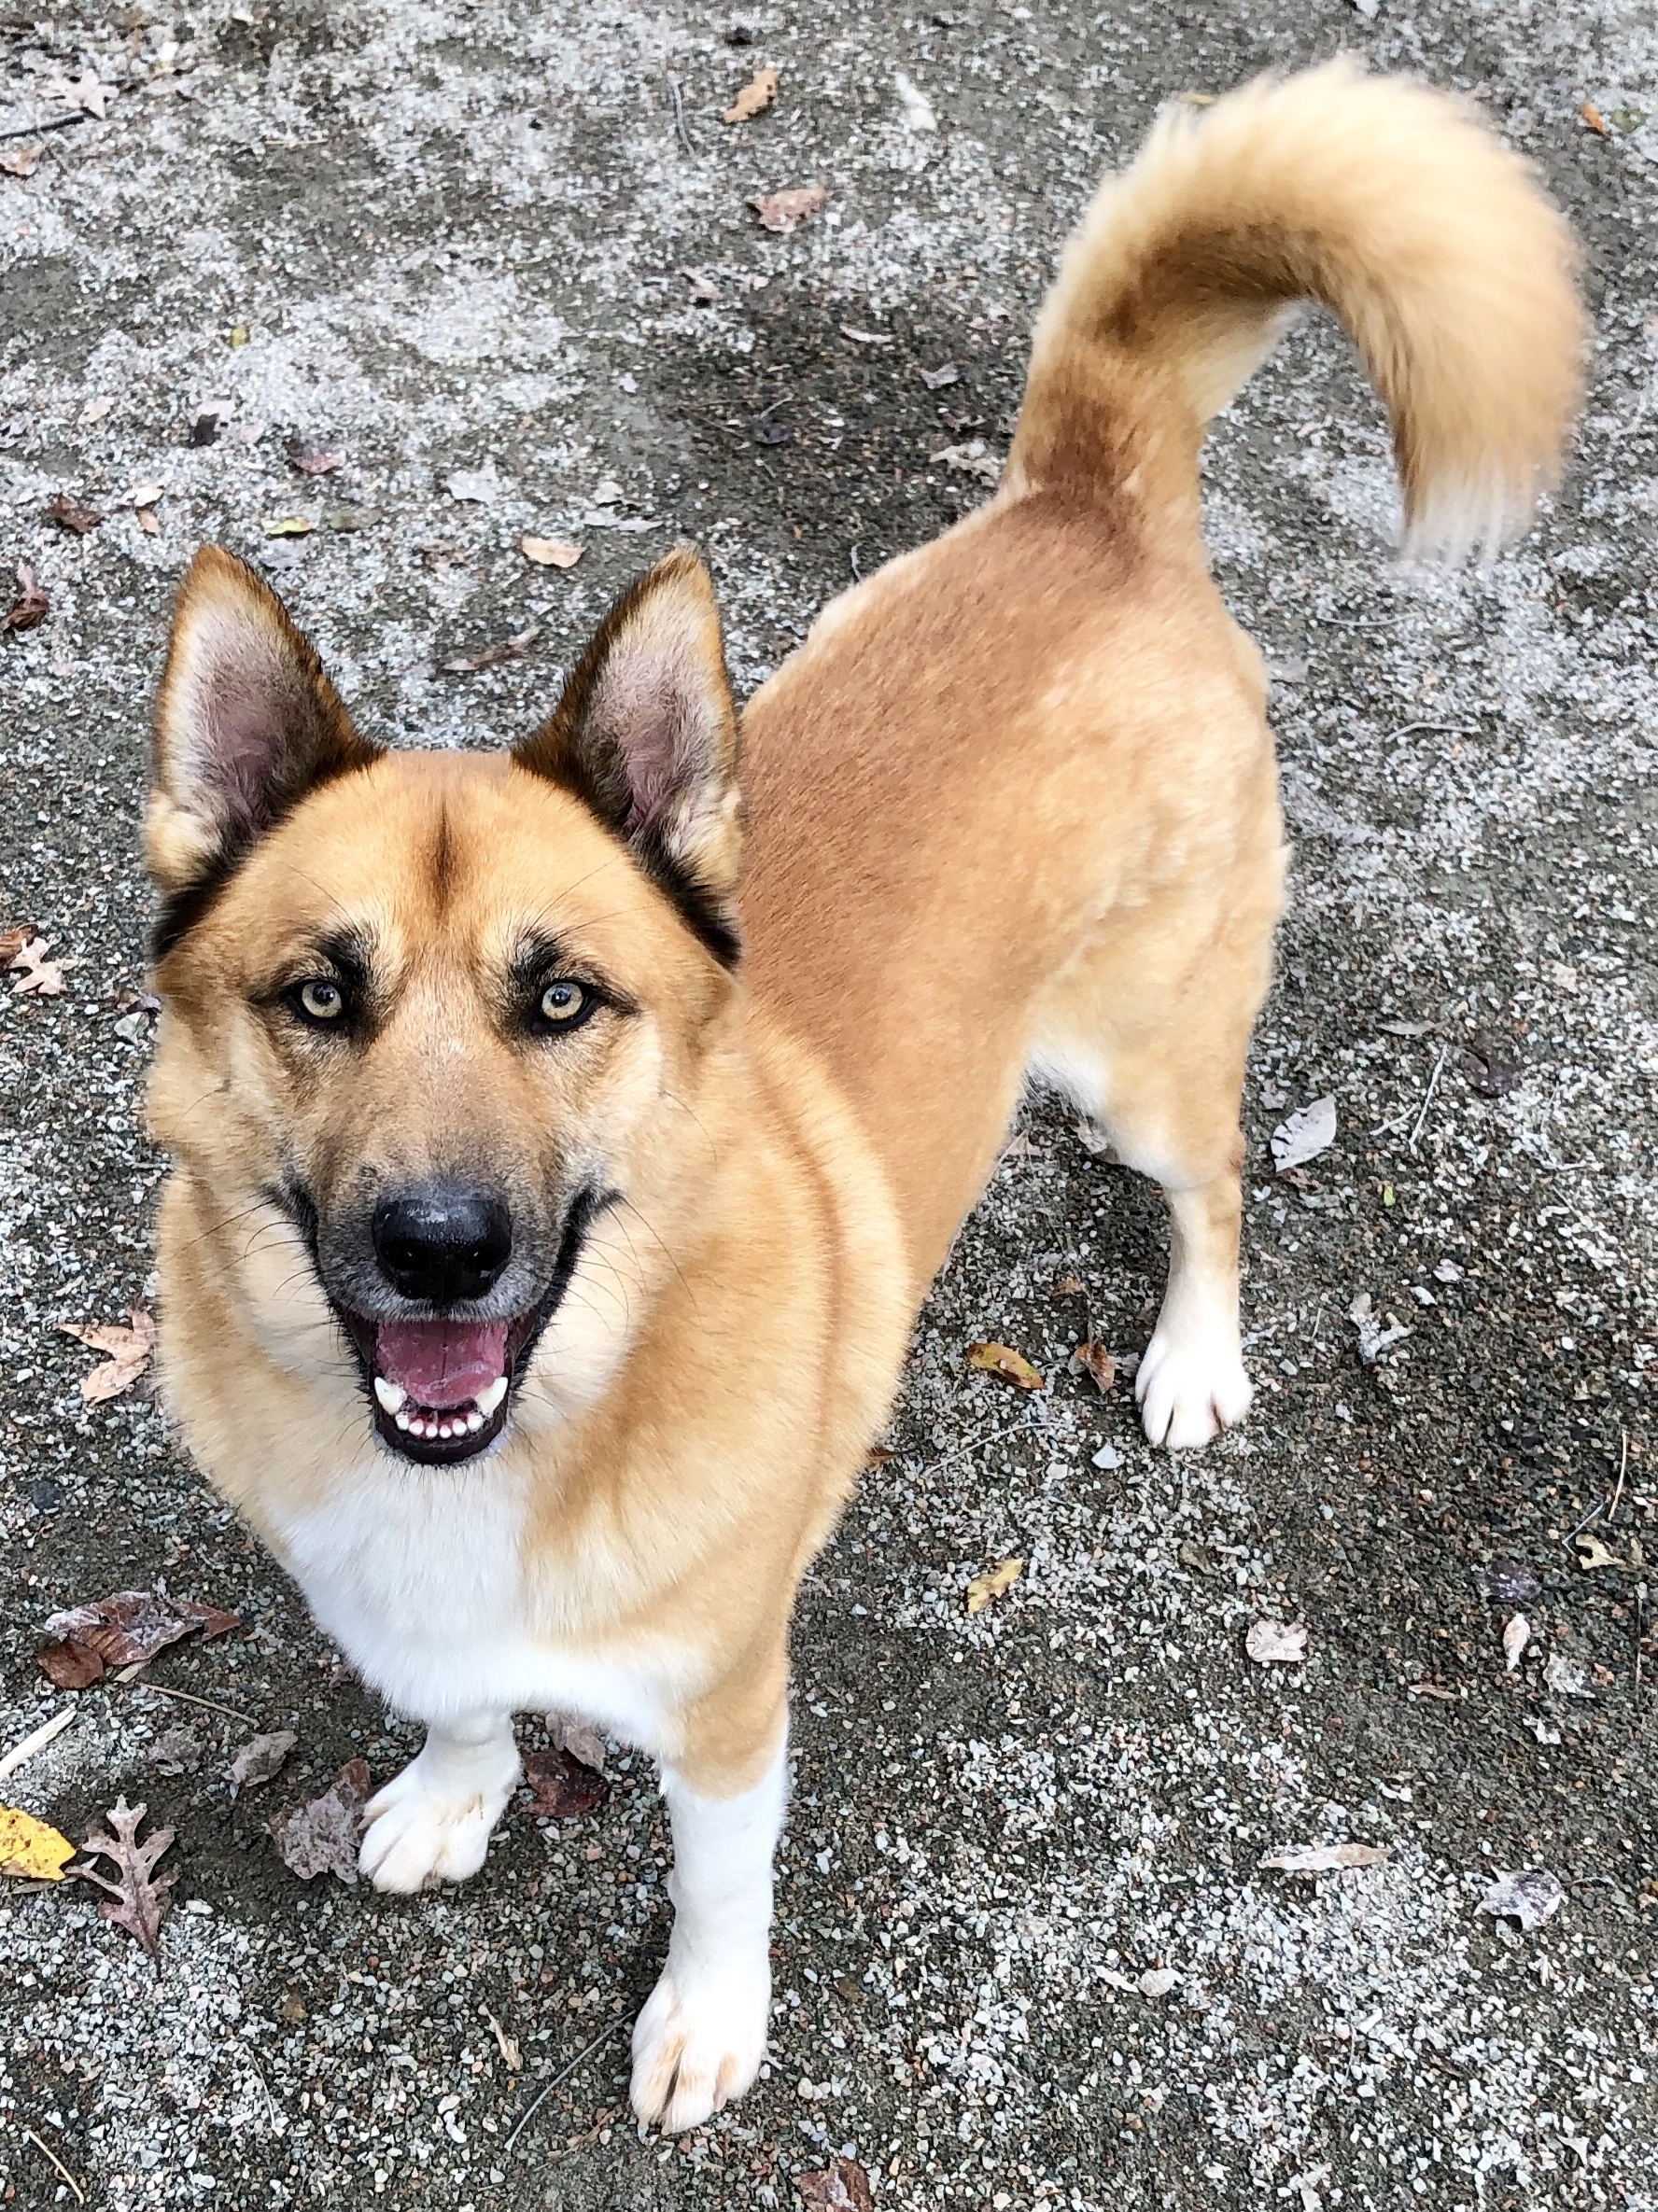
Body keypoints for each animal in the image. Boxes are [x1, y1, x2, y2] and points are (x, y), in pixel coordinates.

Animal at [145, 69, 1576, 2132]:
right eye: (318, 997)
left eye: (561, 999)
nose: (439, 1253)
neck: (533, 1427)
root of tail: (1088, 503)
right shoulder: (419, 1619)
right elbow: (464, 1699)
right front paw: (452, 1792)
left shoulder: (732, 1703)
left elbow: (719, 1884)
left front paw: (705, 2020)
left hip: (1149, 1063)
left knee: (1215, 1183)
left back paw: (1194, 1355)